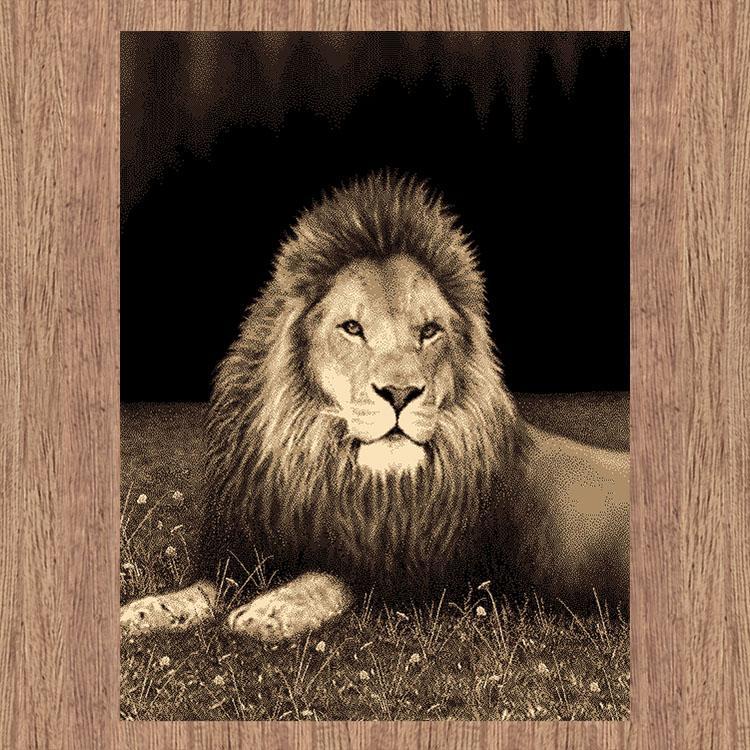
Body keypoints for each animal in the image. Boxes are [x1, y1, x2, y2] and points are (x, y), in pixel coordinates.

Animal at [120, 171, 629, 642]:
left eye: (429, 331)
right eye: (352, 328)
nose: (400, 394)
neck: (341, 476)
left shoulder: (423, 578)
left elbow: (330, 579)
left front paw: (270, 610)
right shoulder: (245, 545)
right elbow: (209, 585)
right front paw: (147, 609)